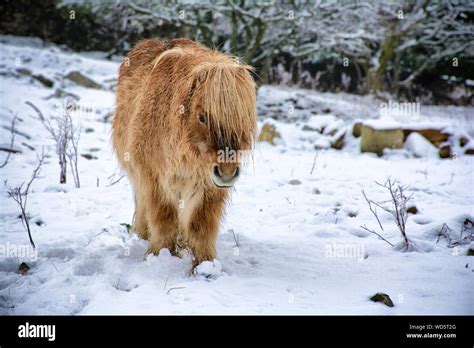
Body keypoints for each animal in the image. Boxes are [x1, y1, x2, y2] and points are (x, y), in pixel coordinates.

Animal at [112, 39, 256, 270]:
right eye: (202, 117)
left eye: (243, 118)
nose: (226, 173)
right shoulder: (154, 181)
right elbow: (164, 220)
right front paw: (160, 255)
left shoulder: (209, 187)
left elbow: (200, 226)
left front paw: (205, 266)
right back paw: (144, 235)